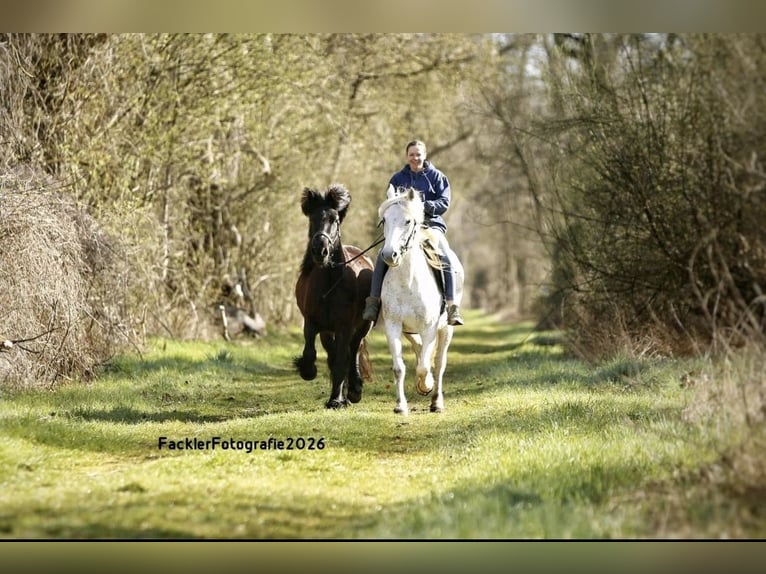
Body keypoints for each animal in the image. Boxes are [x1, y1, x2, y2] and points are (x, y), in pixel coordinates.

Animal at [294, 184, 374, 409]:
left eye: (335, 220)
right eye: (312, 219)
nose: (320, 250)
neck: (329, 284)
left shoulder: (344, 326)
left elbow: (341, 361)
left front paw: (336, 400)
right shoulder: (312, 322)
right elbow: (310, 353)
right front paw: (307, 370)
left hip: (363, 326)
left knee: (352, 351)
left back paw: (353, 391)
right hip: (327, 332)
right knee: (334, 354)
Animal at [378, 184, 464, 414]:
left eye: (408, 221)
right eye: (385, 220)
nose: (389, 255)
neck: (407, 281)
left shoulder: (429, 328)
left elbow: (425, 367)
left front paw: (426, 386)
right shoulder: (393, 326)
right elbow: (399, 368)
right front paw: (400, 406)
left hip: (446, 329)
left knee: (439, 362)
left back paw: (436, 402)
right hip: (409, 330)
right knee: (418, 349)